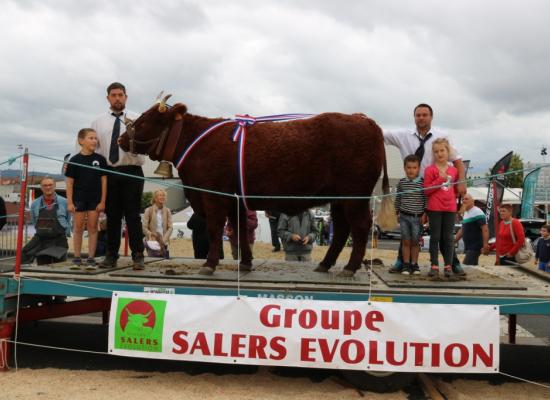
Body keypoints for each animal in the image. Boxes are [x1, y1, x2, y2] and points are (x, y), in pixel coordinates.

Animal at [119, 94, 394, 276]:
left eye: (144, 120)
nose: (121, 139)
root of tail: (365, 120)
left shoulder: (213, 196)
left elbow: (215, 229)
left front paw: (209, 264)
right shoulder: (234, 198)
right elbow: (239, 229)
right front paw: (246, 263)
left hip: (355, 195)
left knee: (360, 226)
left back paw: (349, 268)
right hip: (339, 198)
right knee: (343, 230)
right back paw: (325, 265)